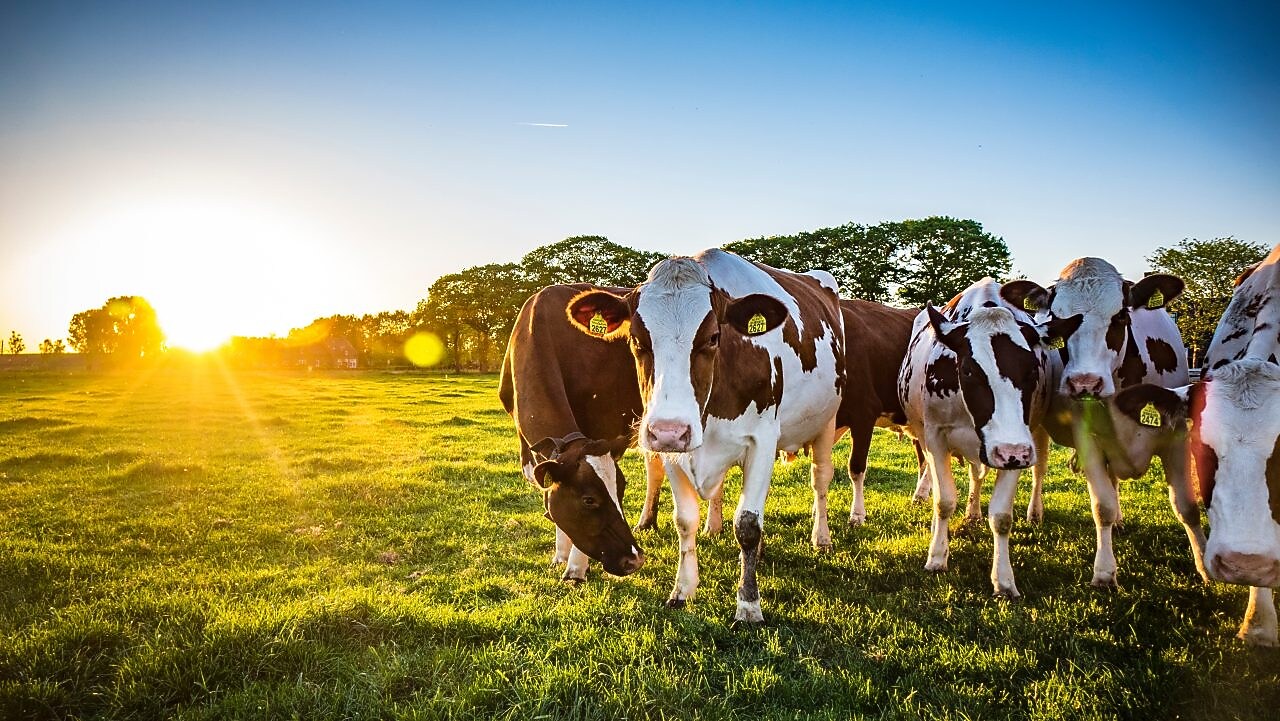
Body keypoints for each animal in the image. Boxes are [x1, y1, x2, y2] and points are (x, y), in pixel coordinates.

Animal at [498, 284, 648, 581]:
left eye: (621, 490)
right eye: (589, 500)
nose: (634, 560)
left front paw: (576, 569)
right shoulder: (531, 447)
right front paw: (559, 556)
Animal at [562, 249, 846, 622]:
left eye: (712, 337)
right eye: (636, 340)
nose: (670, 430)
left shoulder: (763, 440)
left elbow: (748, 525)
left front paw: (748, 605)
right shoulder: (673, 450)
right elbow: (685, 520)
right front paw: (683, 590)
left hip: (826, 421)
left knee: (820, 479)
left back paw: (821, 537)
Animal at [898, 278, 1080, 597]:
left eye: (1032, 370)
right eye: (969, 370)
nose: (1011, 451)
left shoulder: (1016, 447)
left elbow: (1002, 517)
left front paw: (1004, 579)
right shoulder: (935, 436)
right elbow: (944, 501)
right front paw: (937, 556)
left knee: (1035, 471)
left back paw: (1028, 513)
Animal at [1000, 257, 1209, 589]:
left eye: (1121, 316)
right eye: (1057, 320)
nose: (1084, 383)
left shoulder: (1176, 433)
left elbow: (1186, 507)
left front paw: (1204, 565)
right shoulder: (1087, 439)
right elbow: (1103, 507)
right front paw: (1104, 572)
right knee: (1040, 468)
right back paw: (1035, 513)